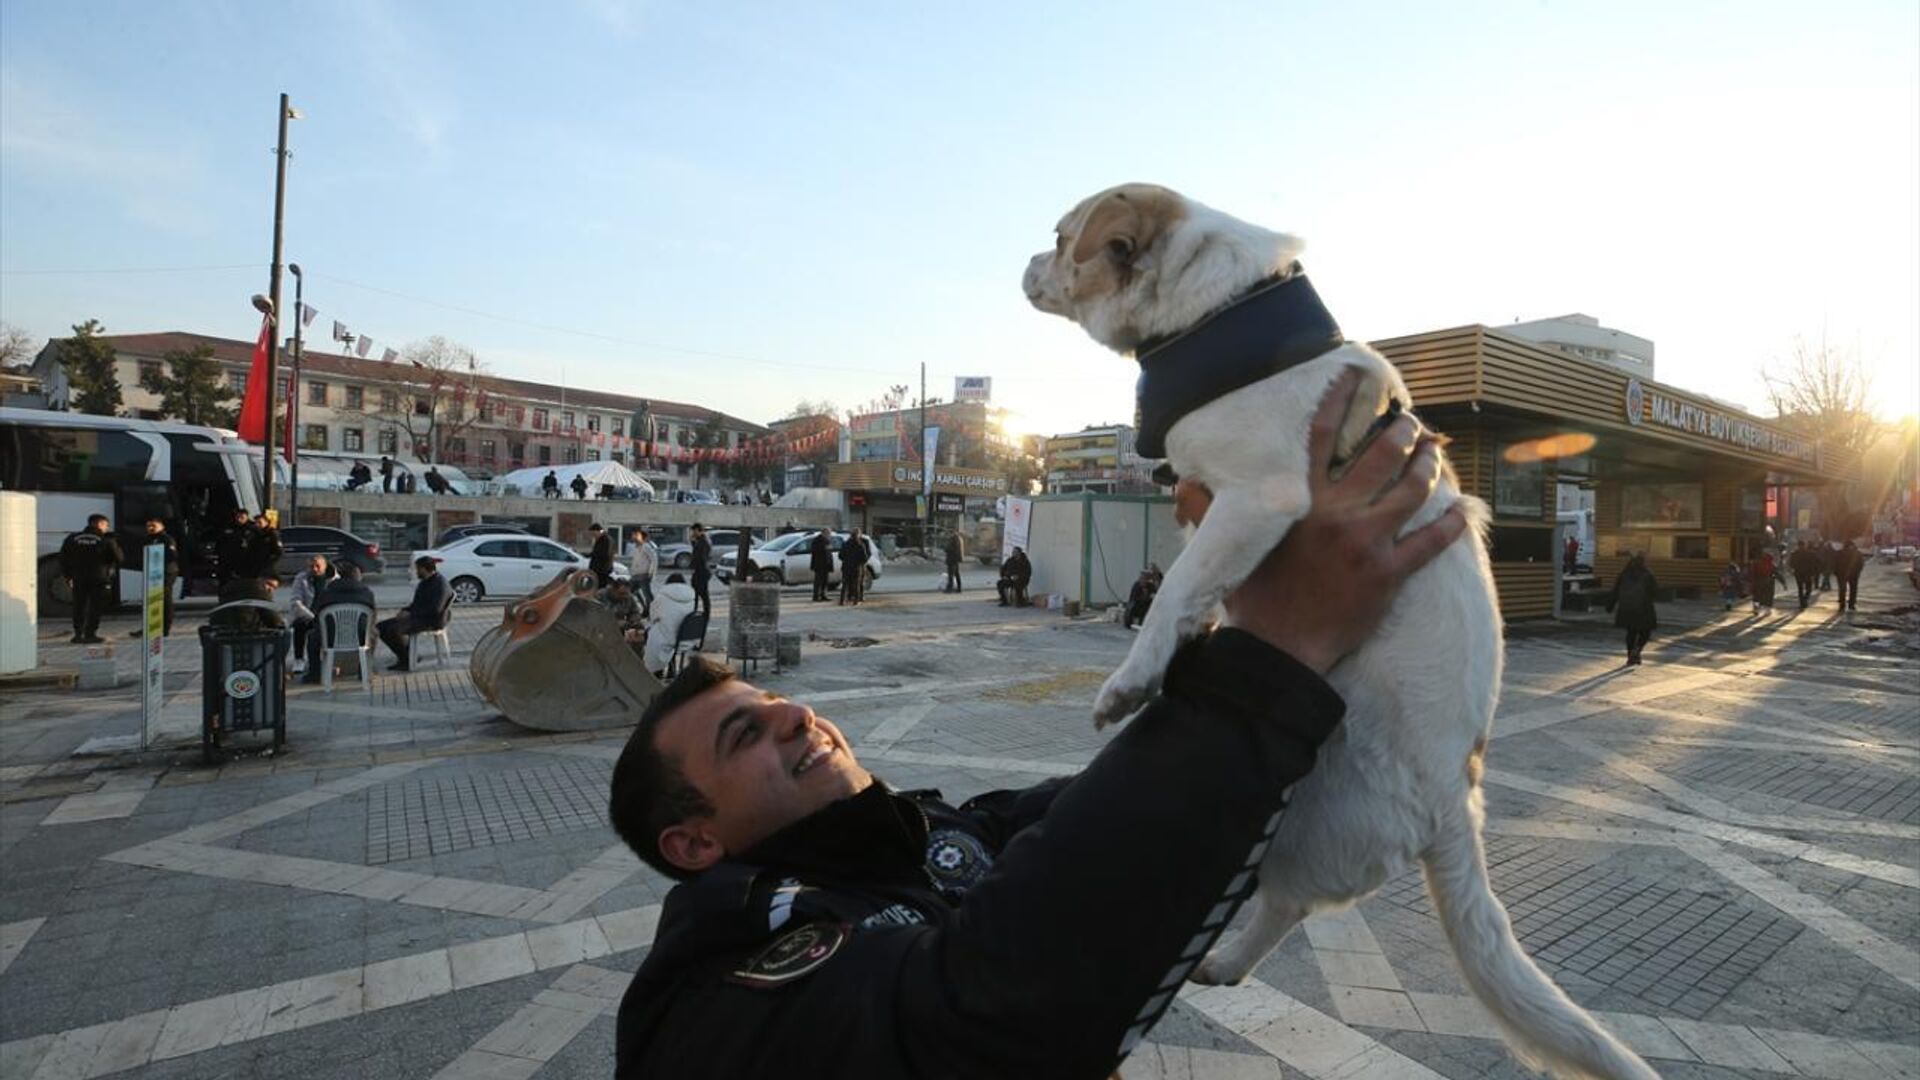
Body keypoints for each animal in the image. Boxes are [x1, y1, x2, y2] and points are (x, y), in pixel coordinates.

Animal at [1029, 184, 1658, 1076]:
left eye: (1061, 239)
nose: (1025, 264)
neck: (1222, 314)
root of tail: (1455, 801)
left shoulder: (1255, 500)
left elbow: (1177, 586)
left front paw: (1133, 679)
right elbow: (1193, 591)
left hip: (1306, 819)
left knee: (1286, 901)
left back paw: (1226, 956)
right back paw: (1224, 963)